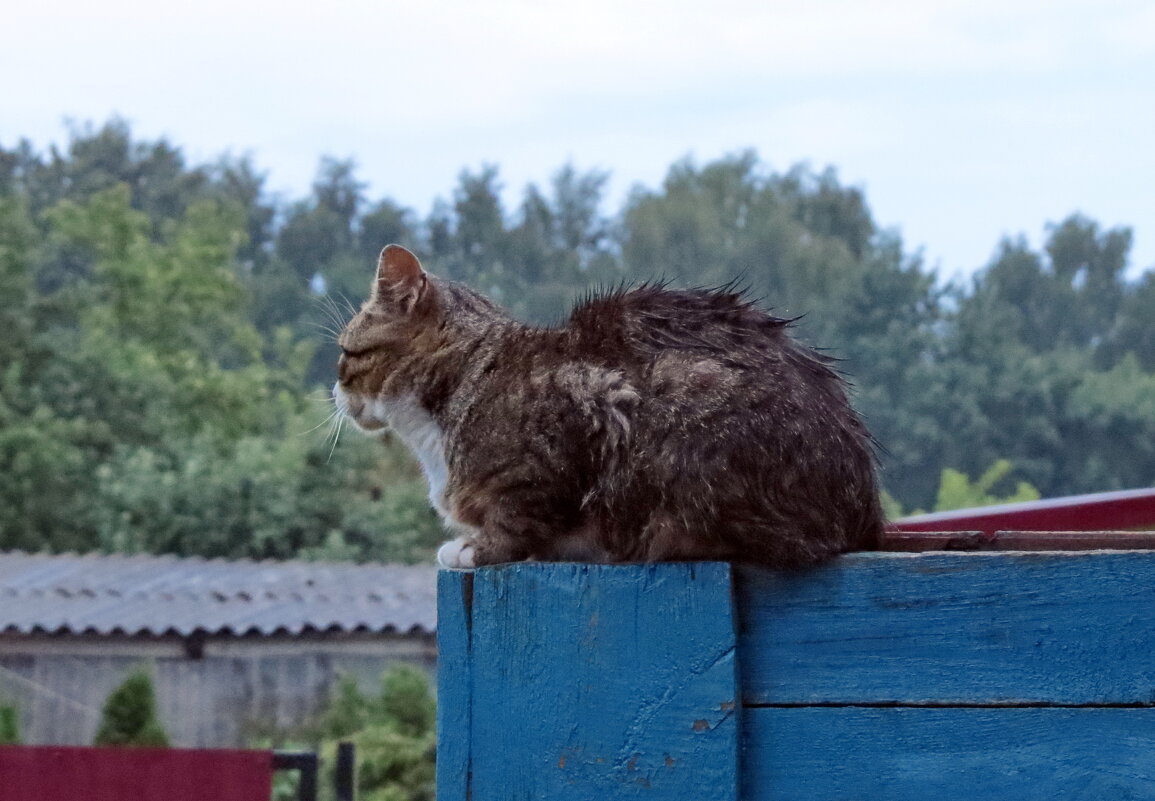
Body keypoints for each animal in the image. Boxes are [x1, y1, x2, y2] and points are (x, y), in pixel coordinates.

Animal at [334, 244, 882, 570]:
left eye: (345, 352)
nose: (334, 391)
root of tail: (864, 516)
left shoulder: (589, 408)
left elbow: (517, 521)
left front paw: (476, 548)